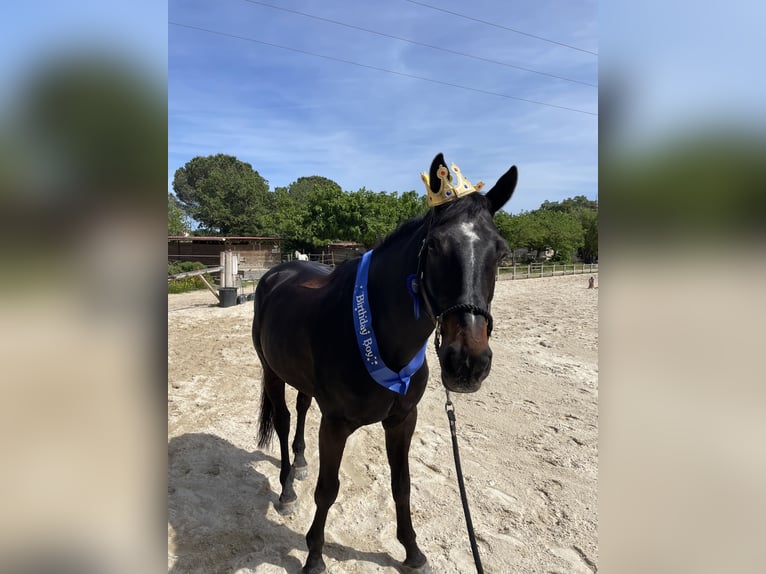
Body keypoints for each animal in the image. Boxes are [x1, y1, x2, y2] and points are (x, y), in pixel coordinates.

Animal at [255, 154, 520, 574]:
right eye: (434, 247)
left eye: (502, 252)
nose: (467, 362)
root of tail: (278, 272)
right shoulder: (335, 425)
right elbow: (327, 491)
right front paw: (314, 556)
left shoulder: (402, 420)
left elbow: (402, 485)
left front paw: (412, 551)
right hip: (271, 372)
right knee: (281, 420)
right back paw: (286, 489)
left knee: (301, 408)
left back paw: (299, 462)